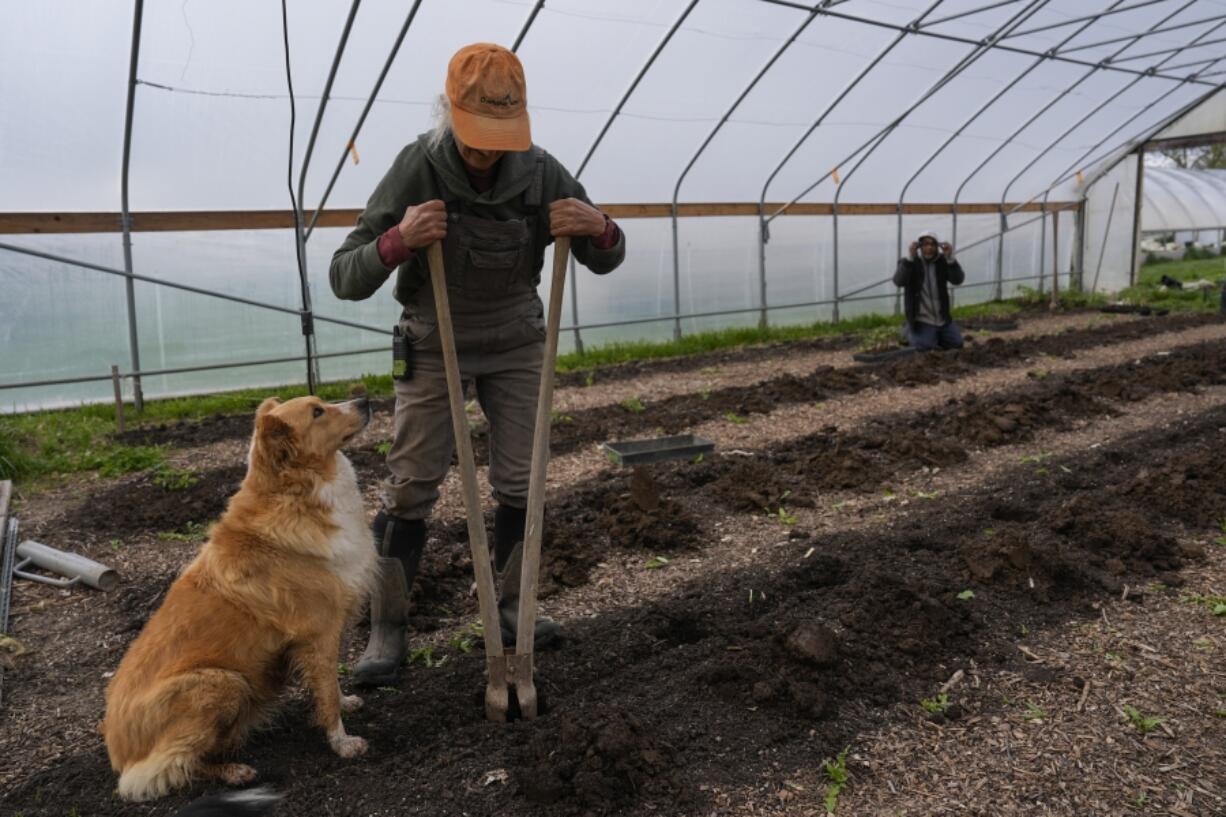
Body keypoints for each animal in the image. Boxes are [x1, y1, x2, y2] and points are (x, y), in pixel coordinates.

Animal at [103, 395, 375, 799]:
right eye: (317, 412)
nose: (366, 399)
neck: (295, 493)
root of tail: (118, 751)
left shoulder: (321, 640)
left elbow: (328, 683)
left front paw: (346, 702)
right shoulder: (318, 633)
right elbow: (326, 691)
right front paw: (342, 743)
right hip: (221, 682)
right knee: (174, 767)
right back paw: (234, 771)